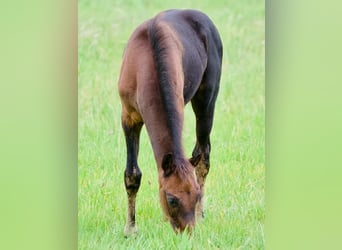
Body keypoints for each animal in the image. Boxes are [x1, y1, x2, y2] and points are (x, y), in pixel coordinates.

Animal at [119, 8, 223, 235]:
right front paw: (130, 229)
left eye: (196, 196)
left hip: (206, 102)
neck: (146, 62)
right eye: (172, 199)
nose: (187, 233)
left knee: (203, 154)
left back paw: (201, 215)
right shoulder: (128, 116)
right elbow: (132, 174)